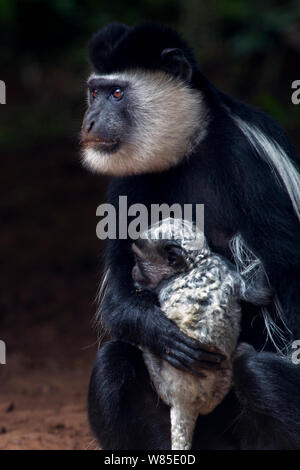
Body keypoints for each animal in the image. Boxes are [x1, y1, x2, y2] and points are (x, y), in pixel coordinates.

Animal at [132, 218, 266, 450]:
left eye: (139, 260)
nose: (132, 271)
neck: (196, 263)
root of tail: (185, 403)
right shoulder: (226, 269)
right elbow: (259, 293)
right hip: (218, 386)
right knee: (243, 351)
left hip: (166, 383)